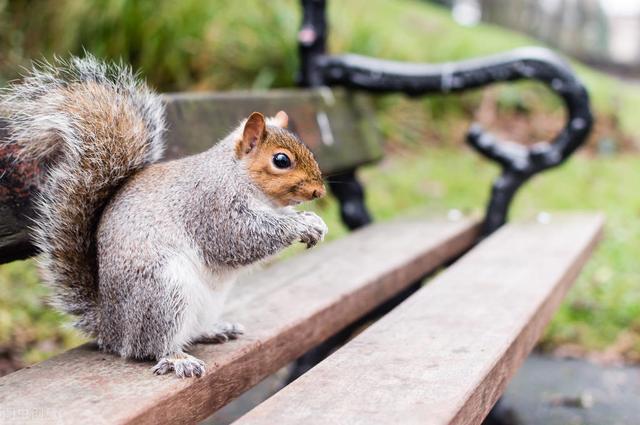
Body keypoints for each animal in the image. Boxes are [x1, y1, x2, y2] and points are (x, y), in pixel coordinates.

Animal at [0, 56, 328, 378]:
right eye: (281, 160)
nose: (319, 191)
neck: (239, 175)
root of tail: (111, 329)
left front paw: (314, 221)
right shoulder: (212, 206)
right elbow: (237, 237)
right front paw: (300, 225)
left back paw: (213, 330)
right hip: (164, 293)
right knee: (150, 346)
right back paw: (176, 358)